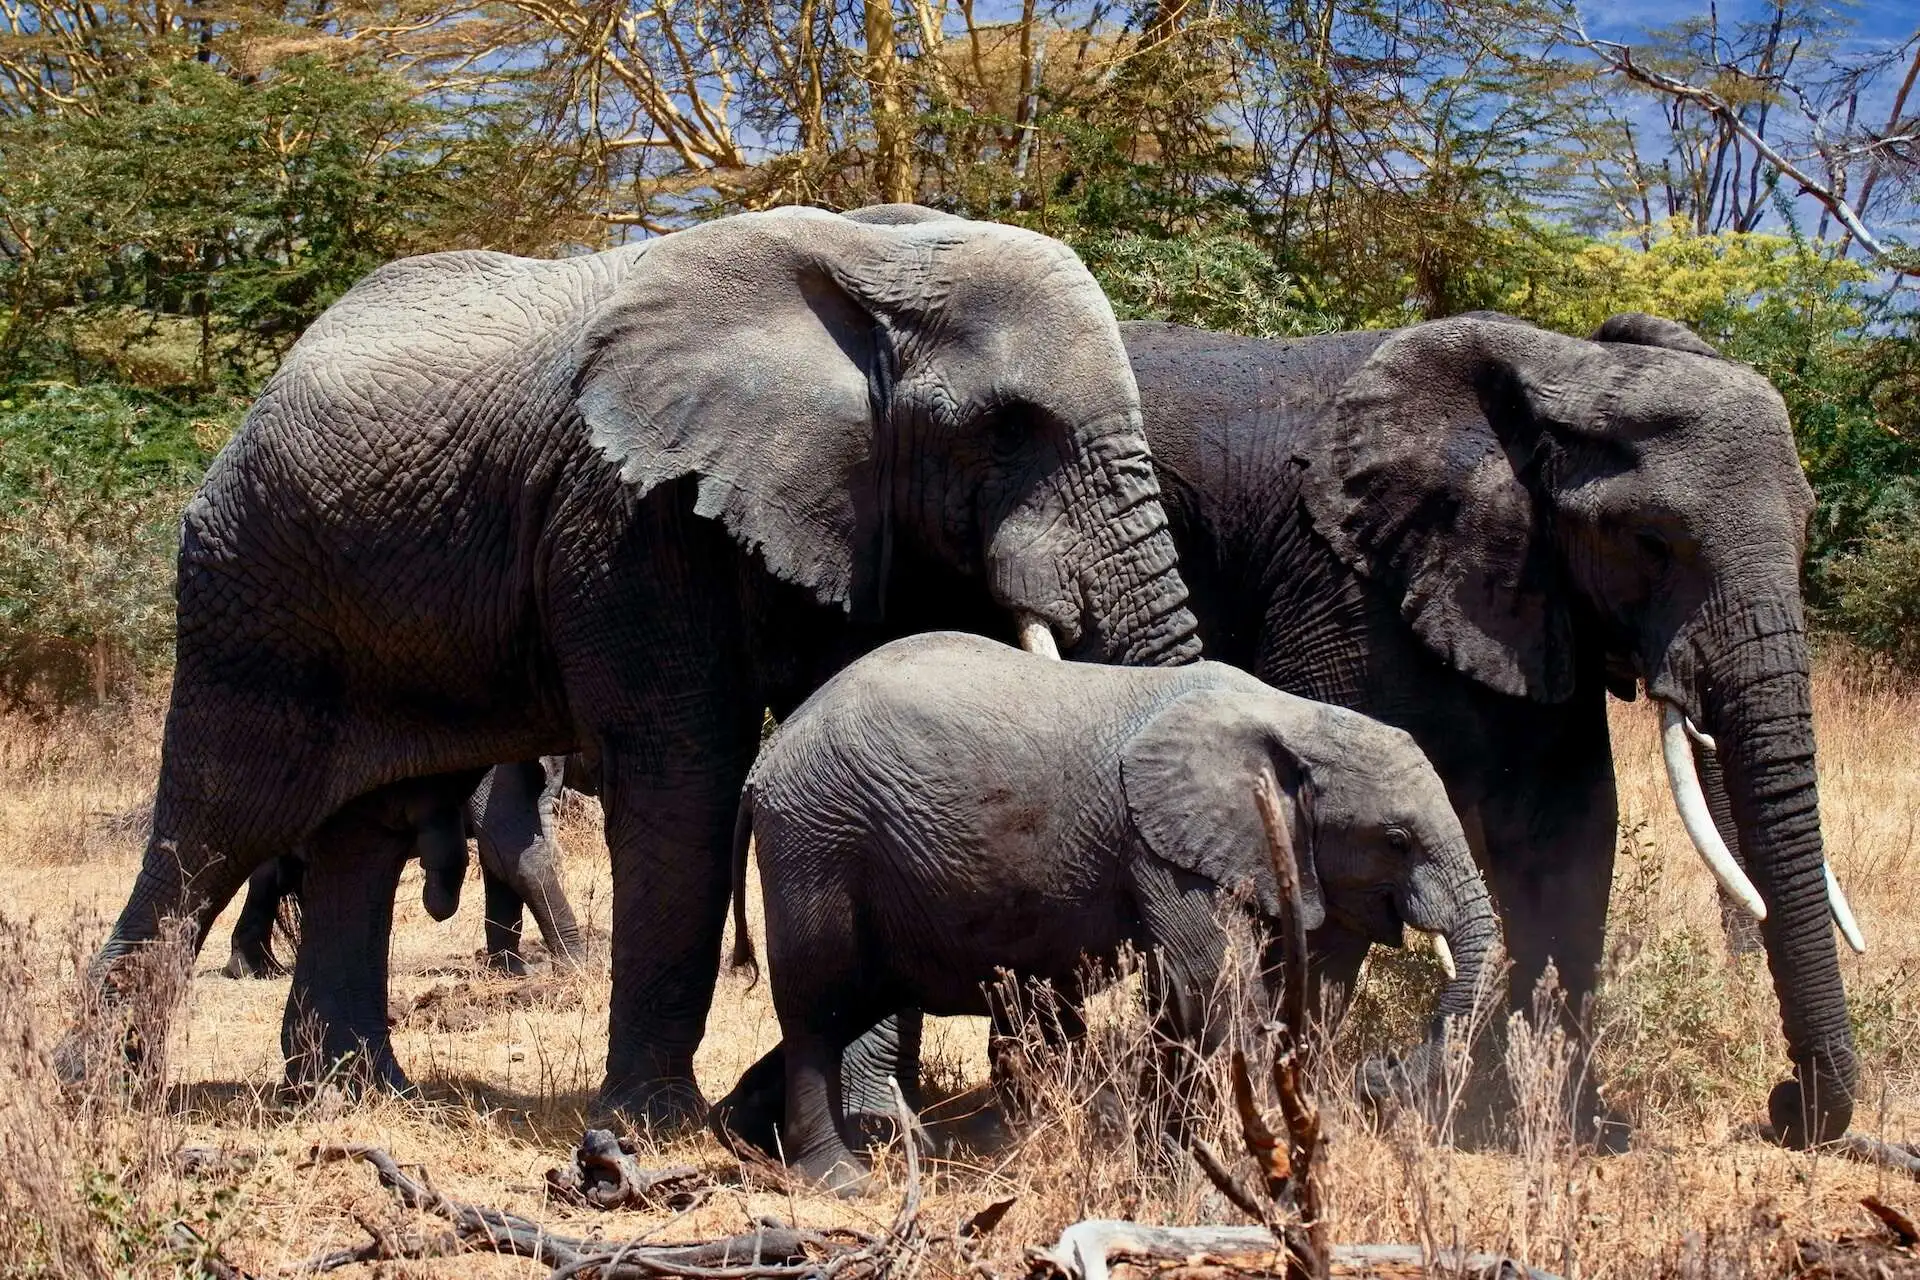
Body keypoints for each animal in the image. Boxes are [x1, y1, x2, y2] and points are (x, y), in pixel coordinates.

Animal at [90, 205, 1205, 1128]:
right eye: (1006, 430)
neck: (875, 260)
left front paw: (867, 1121)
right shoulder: (628, 512)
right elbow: (685, 776)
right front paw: (661, 1127)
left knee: (365, 834)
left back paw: (356, 1093)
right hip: (256, 588)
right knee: (220, 818)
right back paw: (104, 1097)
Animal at [733, 629, 1497, 1189]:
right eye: (1396, 840)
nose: (1383, 1071)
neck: (1294, 718)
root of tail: (766, 761)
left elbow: (1262, 992)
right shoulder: (1162, 847)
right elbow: (1211, 986)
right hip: (816, 837)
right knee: (818, 1007)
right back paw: (839, 1179)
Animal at [1121, 312, 1858, 1151]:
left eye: (1808, 527)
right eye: (1650, 541)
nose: (1785, 1105)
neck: (1564, 374)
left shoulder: (1535, 598)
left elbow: (1564, 835)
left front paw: (1560, 1122)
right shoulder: (1341, 589)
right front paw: (1303, 1097)